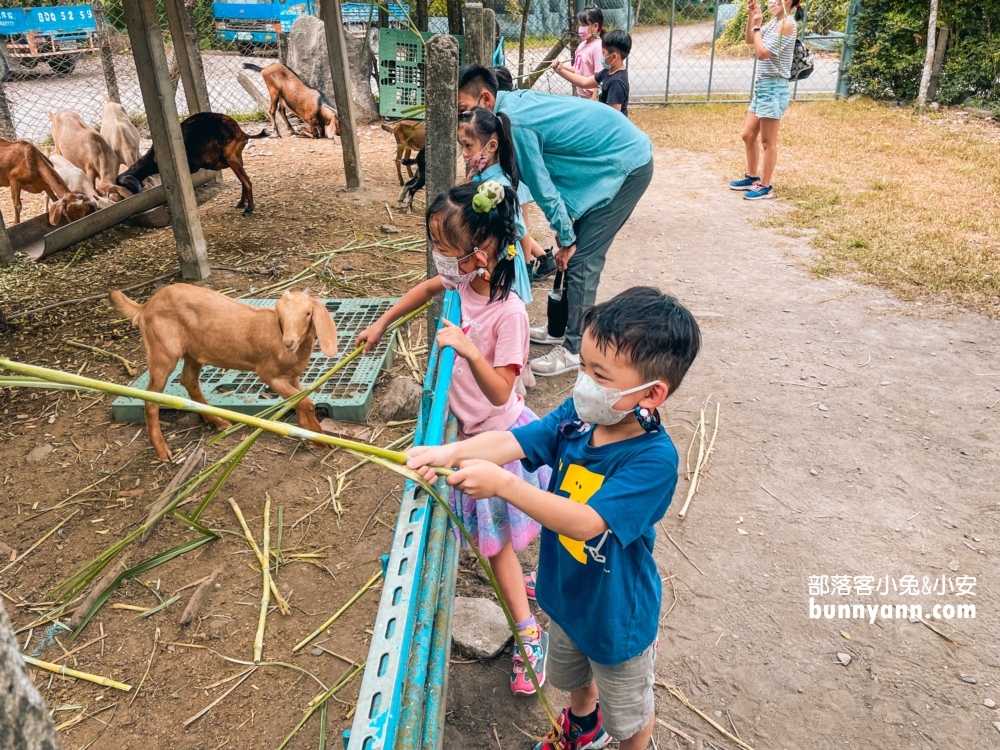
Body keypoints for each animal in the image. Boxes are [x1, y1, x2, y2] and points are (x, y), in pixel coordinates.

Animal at [111, 284, 340, 464]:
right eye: (281, 315)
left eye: (308, 313)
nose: (289, 343)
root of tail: (145, 307)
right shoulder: (269, 375)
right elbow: (306, 403)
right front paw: (320, 440)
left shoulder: (292, 377)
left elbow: (302, 402)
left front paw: (312, 436)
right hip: (162, 351)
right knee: (151, 397)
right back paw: (161, 451)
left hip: (193, 353)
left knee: (188, 380)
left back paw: (219, 422)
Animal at [117, 113, 268, 216]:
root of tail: (241, 133)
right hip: (237, 160)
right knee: (243, 181)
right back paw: (241, 203)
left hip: (231, 159)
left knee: (247, 182)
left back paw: (249, 209)